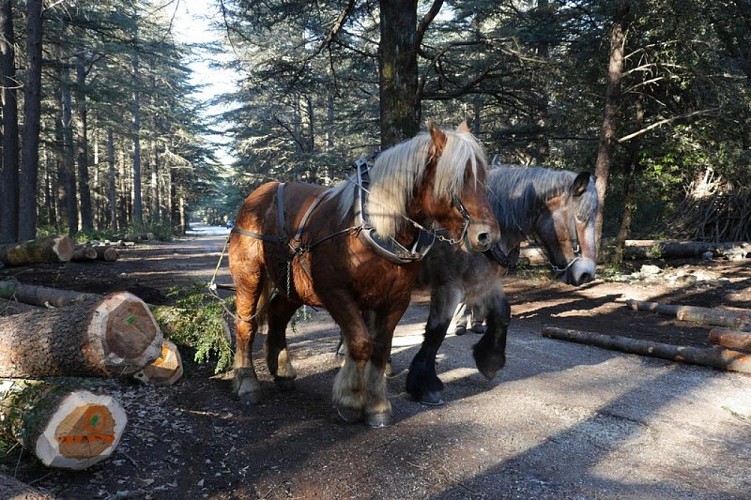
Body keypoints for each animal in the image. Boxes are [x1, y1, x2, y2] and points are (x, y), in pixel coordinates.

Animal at [228, 122, 501, 427]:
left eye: (482, 177)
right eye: (457, 180)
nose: (487, 235)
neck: (377, 228)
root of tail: (258, 194)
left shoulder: (395, 300)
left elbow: (380, 349)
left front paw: (377, 405)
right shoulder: (336, 293)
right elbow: (360, 343)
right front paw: (351, 401)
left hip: (293, 285)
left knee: (277, 316)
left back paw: (283, 371)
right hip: (249, 276)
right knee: (246, 325)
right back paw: (247, 384)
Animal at [406, 165, 598, 405]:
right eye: (579, 217)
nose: (587, 274)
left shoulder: (486, 282)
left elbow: (502, 314)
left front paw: (490, 360)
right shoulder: (448, 287)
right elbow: (436, 331)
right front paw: (424, 384)